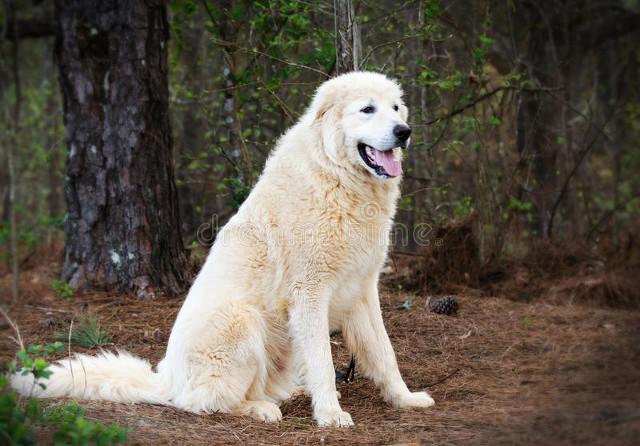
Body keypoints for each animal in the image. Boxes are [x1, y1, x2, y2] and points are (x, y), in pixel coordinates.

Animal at [13, 71, 436, 426]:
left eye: (395, 108)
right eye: (367, 109)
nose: (404, 131)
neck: (336, 177)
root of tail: (165, 380)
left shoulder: (362, 290)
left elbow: (385, 355)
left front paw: (405, 399)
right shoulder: (311, 294)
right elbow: (323, 361)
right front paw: (330, 415)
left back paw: (289, 395)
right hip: (242, 320)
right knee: (206, 402)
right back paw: (261, 409)